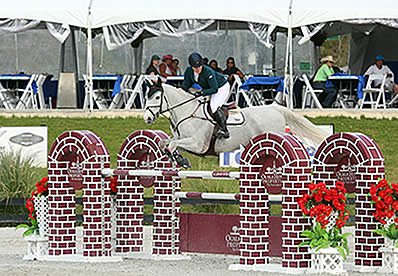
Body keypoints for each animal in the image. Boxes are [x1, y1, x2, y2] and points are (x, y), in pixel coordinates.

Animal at [145, 81, 328, 168]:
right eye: (147, 96)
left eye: (156, 97)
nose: (147, 118)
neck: (186, 111)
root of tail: (275, 108)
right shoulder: (184, 141)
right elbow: (166, 143)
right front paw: (179, 159)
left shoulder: (197, 144)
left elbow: (172, 144)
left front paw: (180, 160)